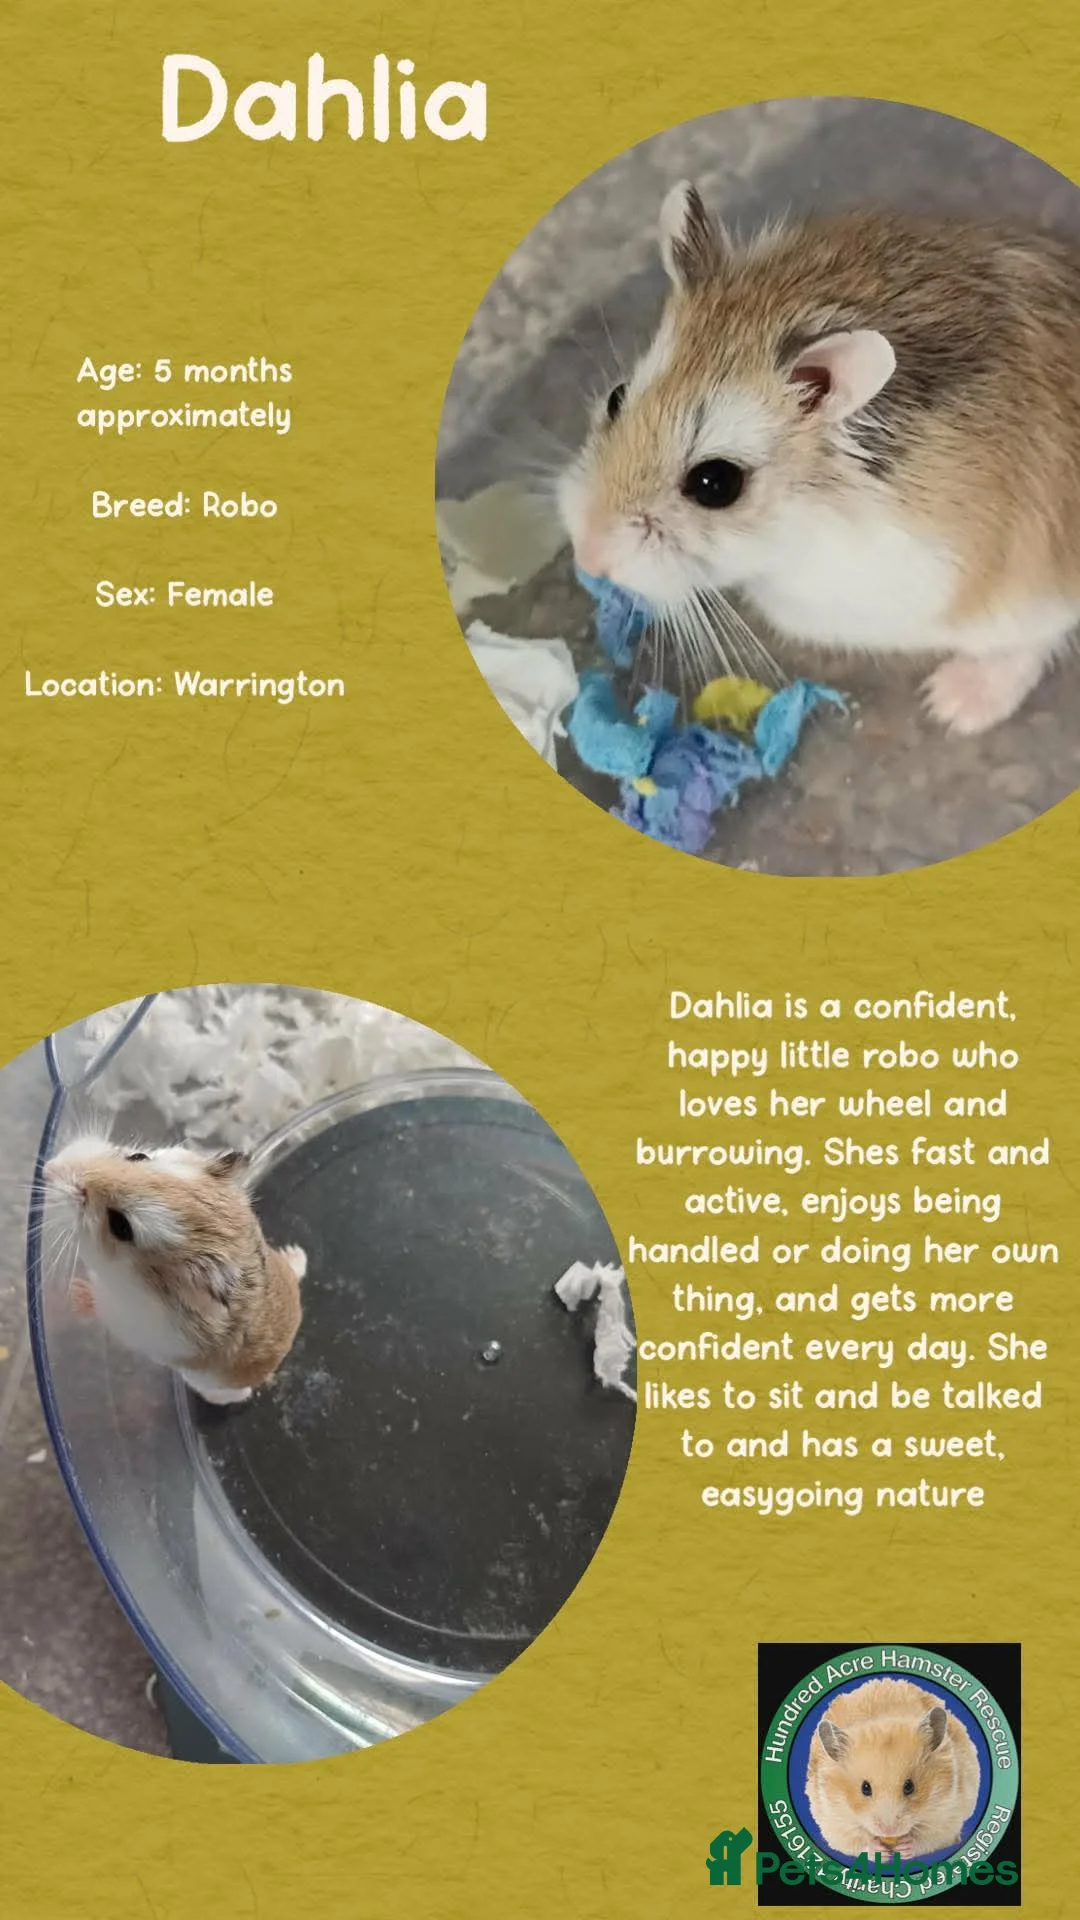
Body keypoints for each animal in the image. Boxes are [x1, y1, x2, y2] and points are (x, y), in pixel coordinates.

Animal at [43, 1133, 306, 1406]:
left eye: (120, 1226)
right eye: (138, 1157)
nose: (48, 1169)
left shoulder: (129, 1320)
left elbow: (101, 1306)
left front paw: (75, 1292)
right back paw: (295, 1252)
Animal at [558, 181, 1080, 735]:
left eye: (716, 483)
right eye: (616, 398)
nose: (587, 557)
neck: (808, 513)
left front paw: (945, 707)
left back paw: (954, 702)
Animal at [806, 1678, 981, 1861]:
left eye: (910, 1786)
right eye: (865, 1788)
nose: (888, 1830)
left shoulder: (947, 1813)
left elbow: (928, 1837)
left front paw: (904, 1848)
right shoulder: (834, 1820)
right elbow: (855, 1841)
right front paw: (881, 1853)